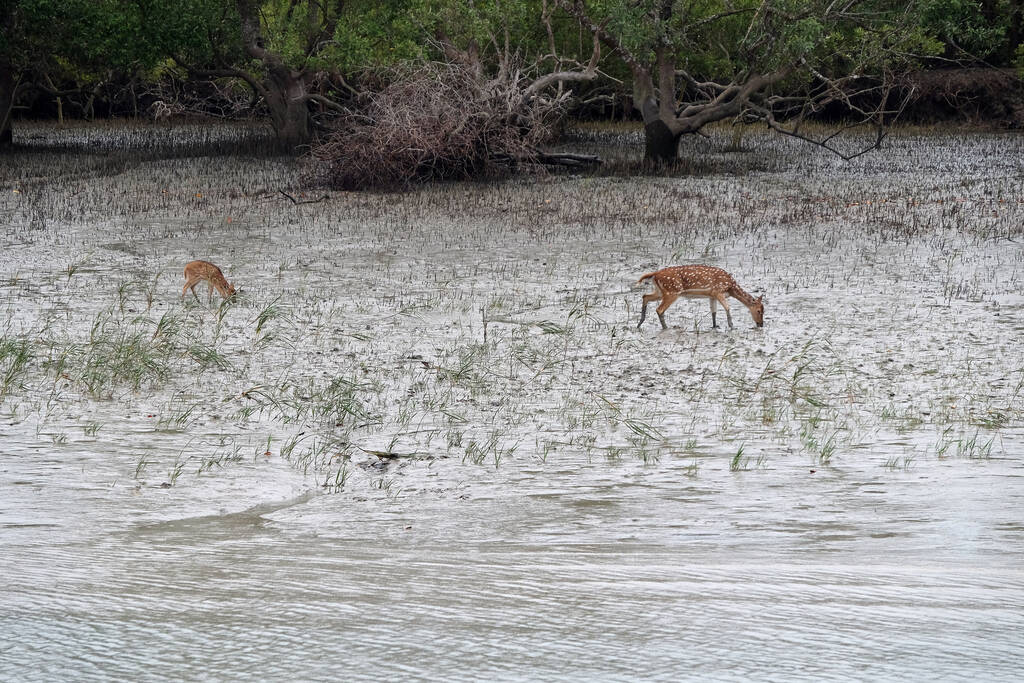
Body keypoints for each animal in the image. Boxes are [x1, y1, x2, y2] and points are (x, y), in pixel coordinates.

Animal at [634, 264, 765, 331]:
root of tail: (655, 274)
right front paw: (732, 326)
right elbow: (727, 307)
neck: (730, 287)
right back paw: (666, 328)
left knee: (645, 296)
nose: (761, 324)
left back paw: (640, 323)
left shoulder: (712, 295)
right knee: (659, 309)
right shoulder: (718, 291)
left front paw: (715, 326)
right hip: (672, 292)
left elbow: (714, 311)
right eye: (759, 311)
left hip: (660, 291)